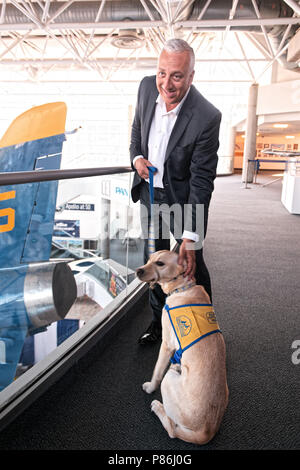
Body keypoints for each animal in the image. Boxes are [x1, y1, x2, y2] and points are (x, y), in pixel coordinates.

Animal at [137, 250, 230, 444]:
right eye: (149, 260)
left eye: (160, 263)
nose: (138, 271)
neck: (183, 287)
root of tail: (207, 432)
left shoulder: (166, 344)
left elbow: (156, 371)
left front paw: (150, 387)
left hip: (169, 379)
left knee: (173, 430)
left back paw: (158, 406)